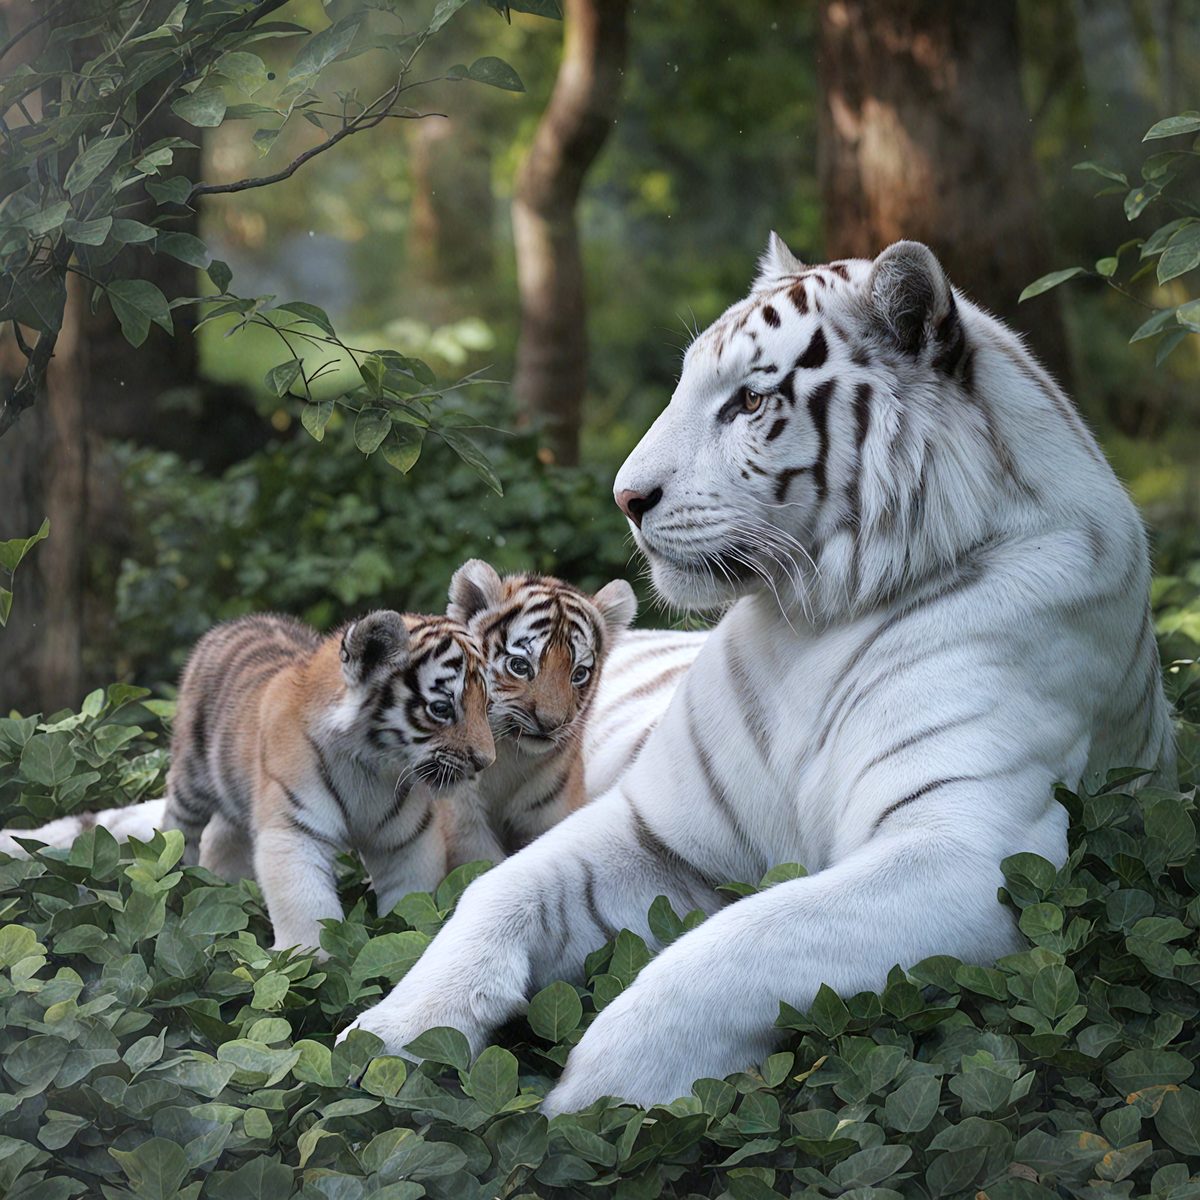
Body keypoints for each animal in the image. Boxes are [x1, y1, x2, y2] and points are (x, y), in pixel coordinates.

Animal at [157, 609, 494, 952]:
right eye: (441, 708)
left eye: (486, 705)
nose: (485, 761)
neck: (369, 767)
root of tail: (239, 620)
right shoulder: (295, 830)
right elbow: (306, 909)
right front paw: (307, 958)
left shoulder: (406, 838)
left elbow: (410, 895)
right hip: (191, 776)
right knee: (179, 826)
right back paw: (176, 879)